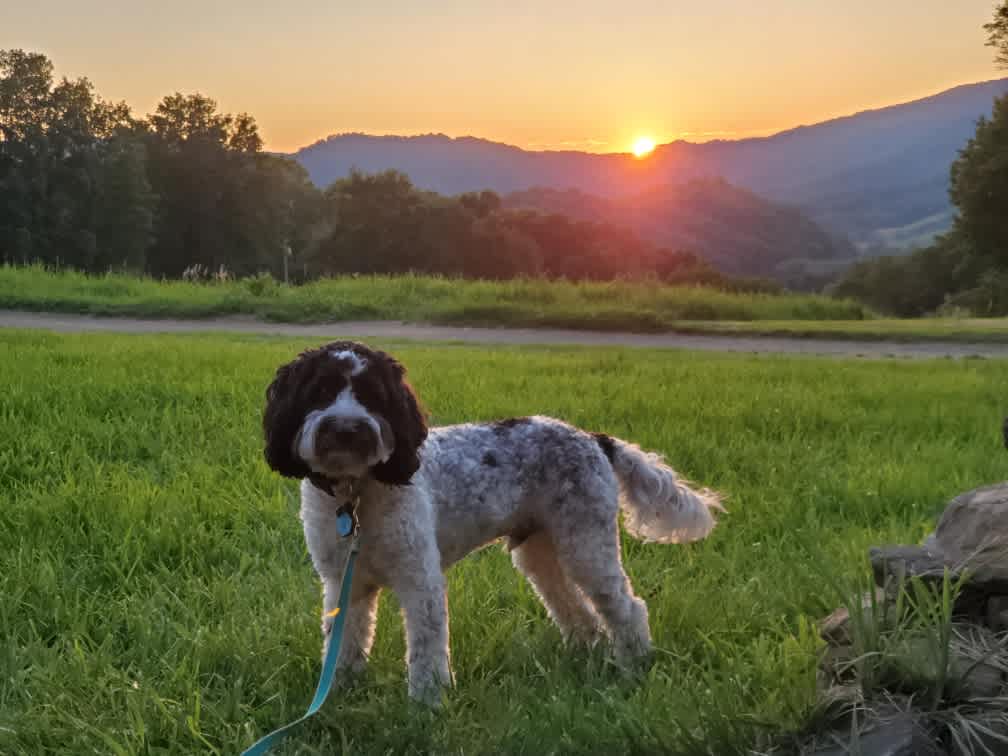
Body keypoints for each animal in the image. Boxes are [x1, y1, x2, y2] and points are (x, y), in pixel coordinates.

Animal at [264, 342, 725, 705]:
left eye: (372, 395)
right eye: (320, 392)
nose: (345, 428)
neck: (357, 493)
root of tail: (594, 440)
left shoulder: (420, 580)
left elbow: (426, 649)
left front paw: (427, 704)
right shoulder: (346, 583)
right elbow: (343, 643)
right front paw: (339, 691)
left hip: (586, 545)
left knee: (627, 608)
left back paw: (634, 665)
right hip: (541, 553)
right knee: (579, 614)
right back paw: (586, 658)